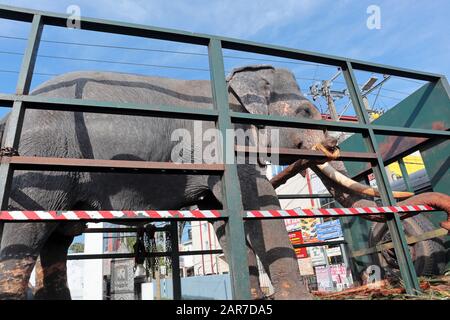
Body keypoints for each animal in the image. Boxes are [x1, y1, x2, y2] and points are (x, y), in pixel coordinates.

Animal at [0, 64, 450, 300]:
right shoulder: (223, 141)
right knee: (28, 230)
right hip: (41, 161)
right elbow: (258, 204)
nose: (331, 146)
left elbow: (223, 220)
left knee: (57, 238)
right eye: (305, 111)